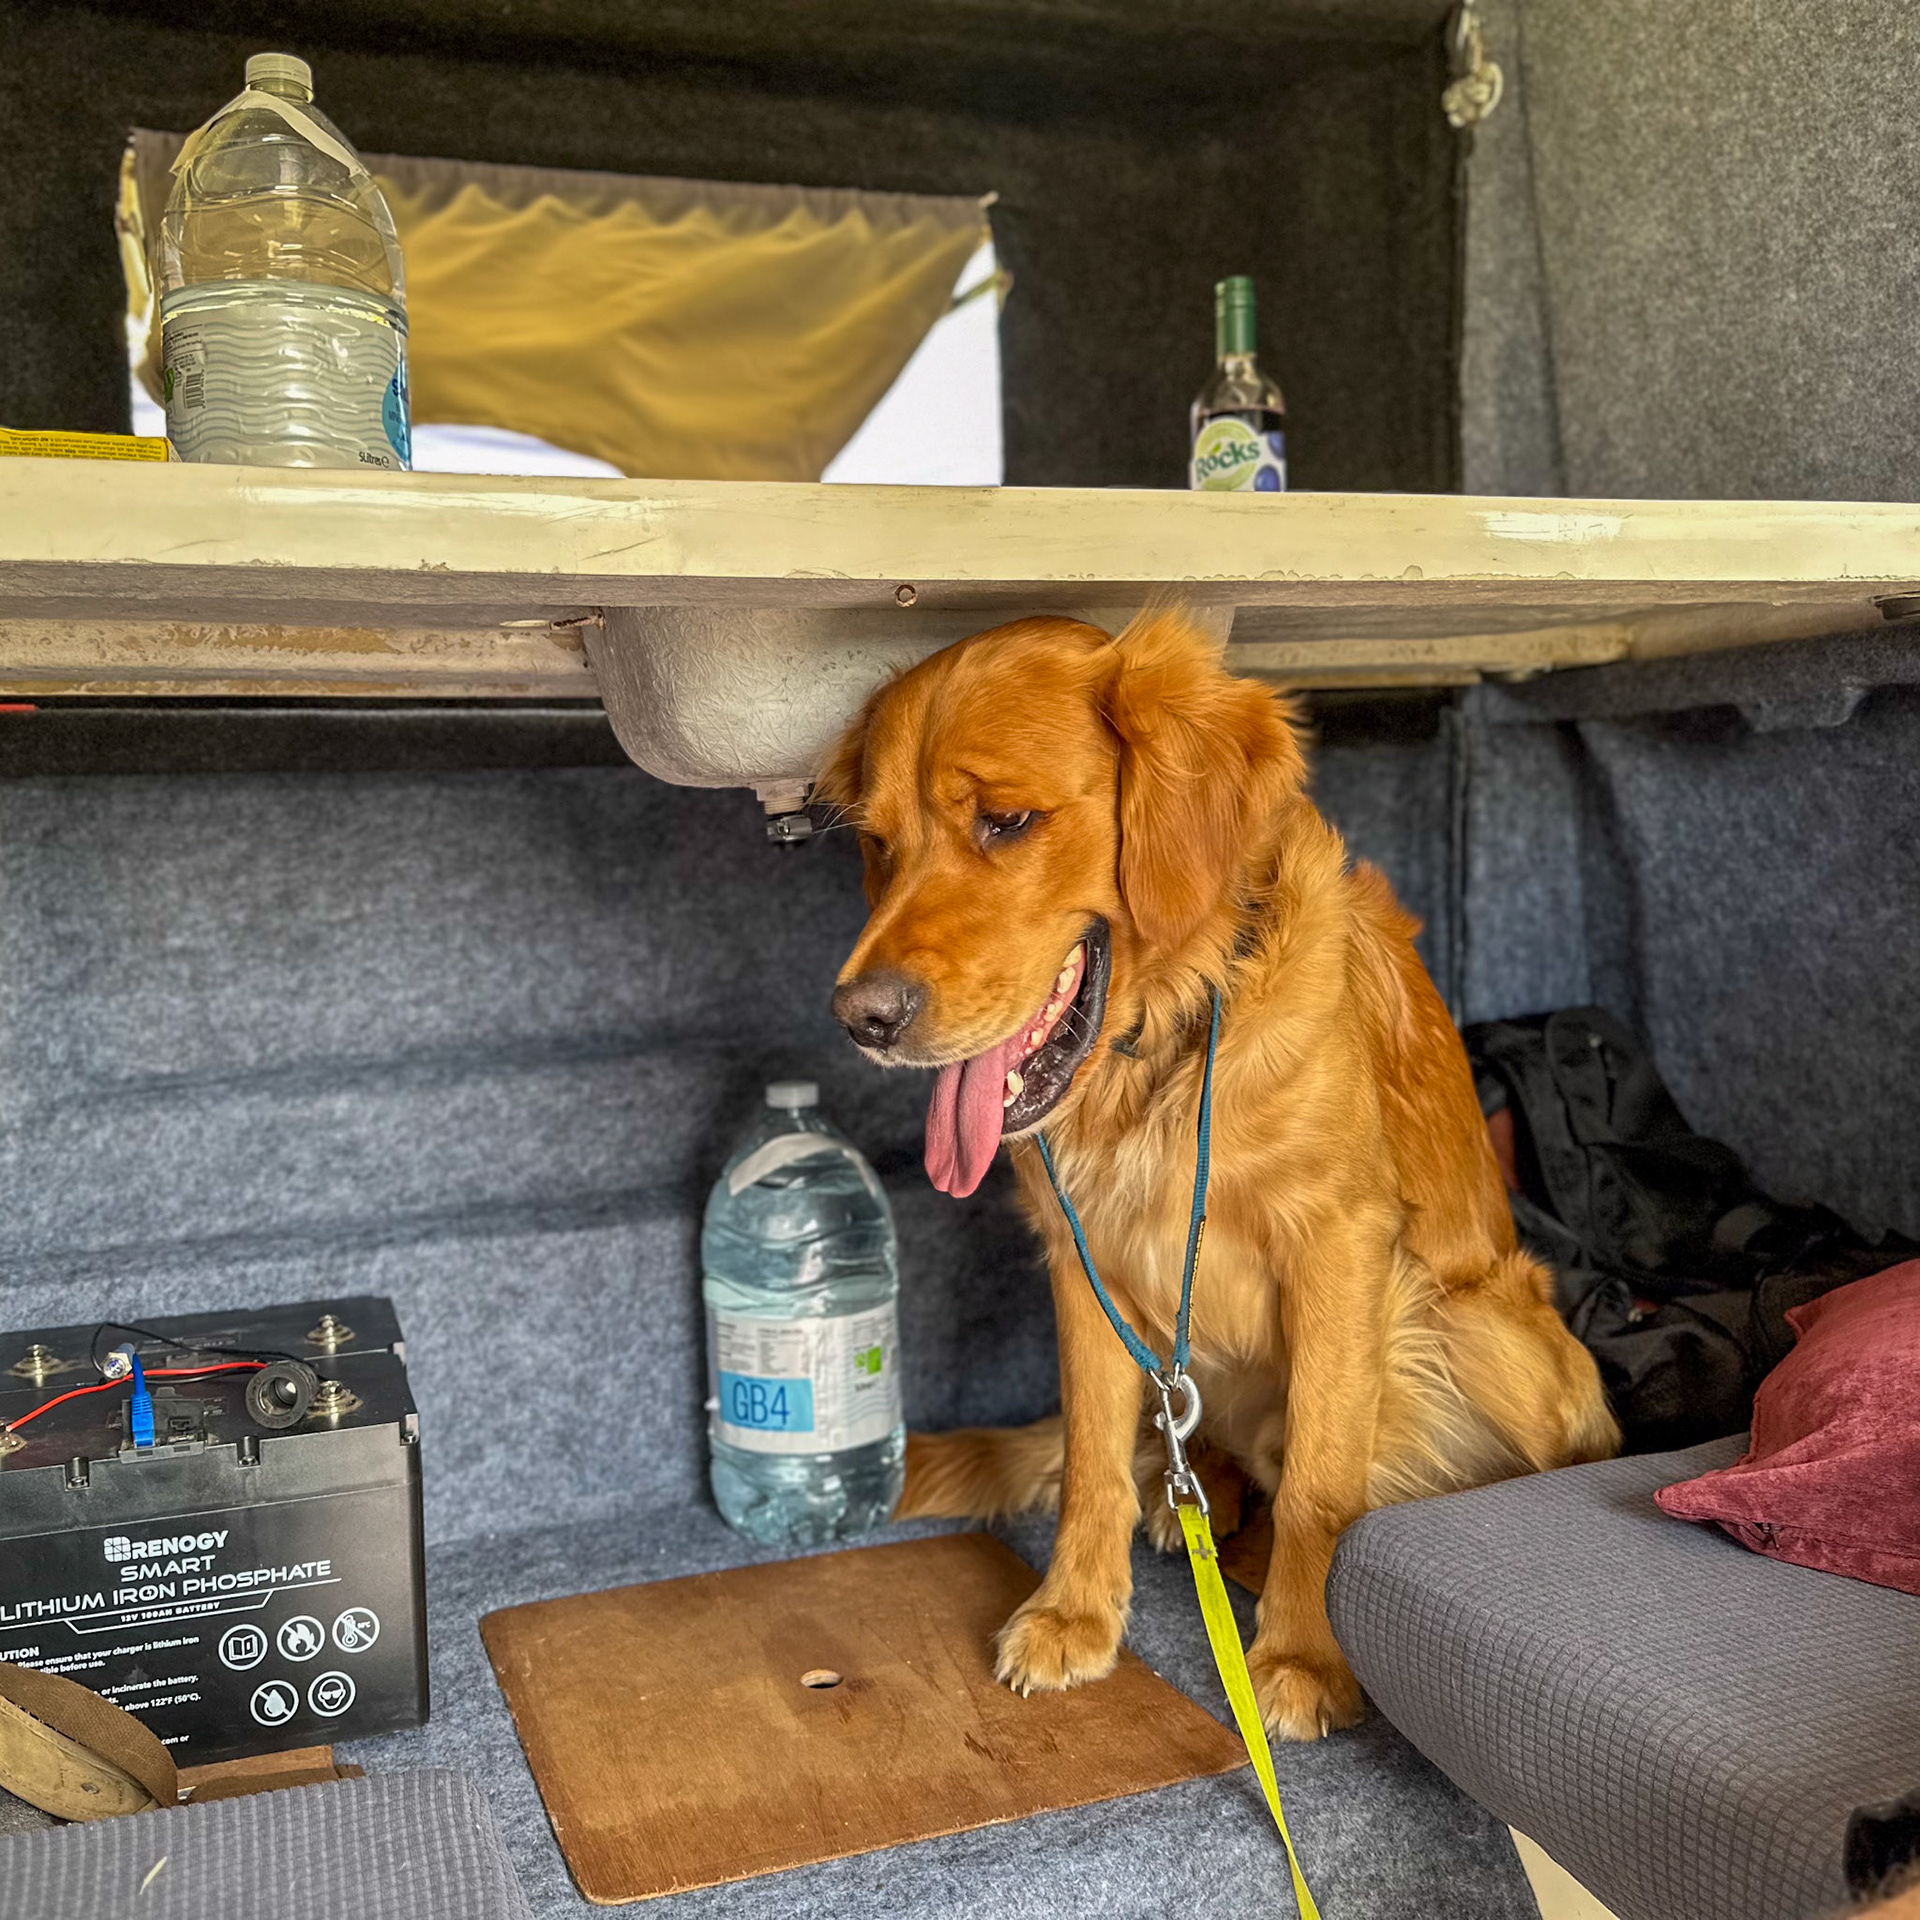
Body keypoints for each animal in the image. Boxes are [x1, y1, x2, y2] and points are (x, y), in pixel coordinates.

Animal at [820, 609, 1619, 1741]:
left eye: (1007, 822)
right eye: (879, 846)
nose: (862, 1020)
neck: (1167, 1039)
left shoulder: (1341, 1244)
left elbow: (1325, 1476)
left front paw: (1304, 1657)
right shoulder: (1083, 1258)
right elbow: (1092, 1460)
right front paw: (1075, 1609)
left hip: (1477, 1324)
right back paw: (1193, 1500)